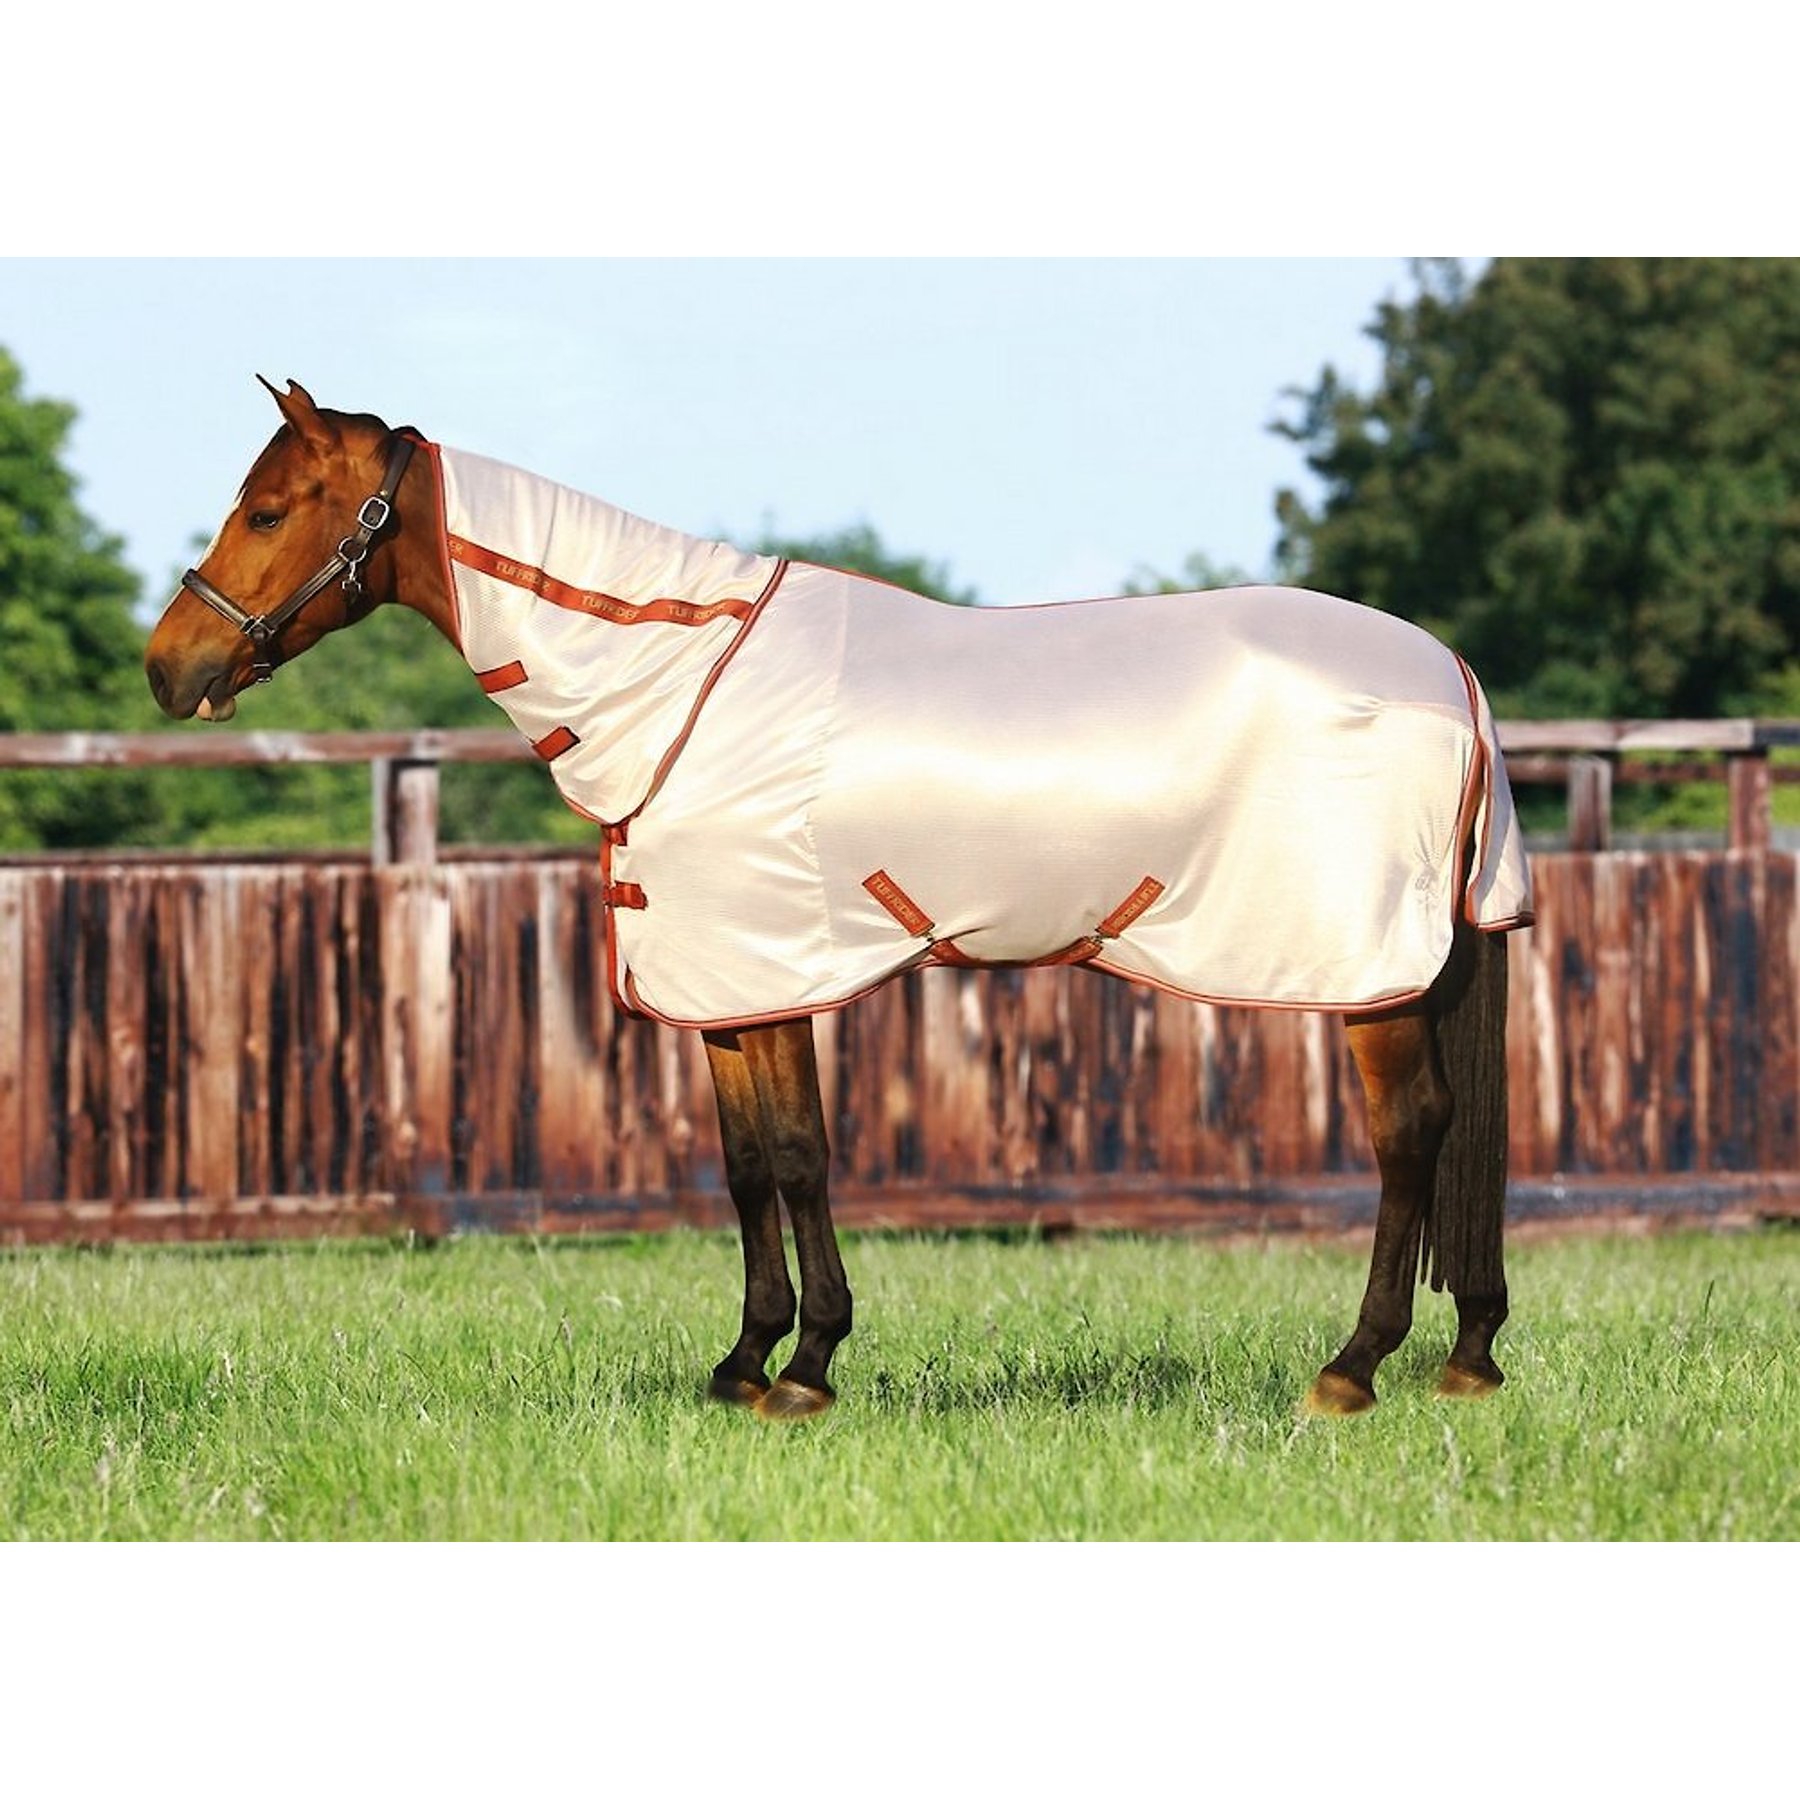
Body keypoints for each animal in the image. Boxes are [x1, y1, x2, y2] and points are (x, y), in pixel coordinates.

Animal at [145, 378, 1533, 1420]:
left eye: (267, 510)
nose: (170, 669)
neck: (680, 683)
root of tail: (1454, 676)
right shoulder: (724, 988)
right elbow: (749, 1165)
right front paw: (746, 1362)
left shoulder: (771, 966)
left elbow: (802, 1156)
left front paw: (807, 1370)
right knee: (1459, 1131)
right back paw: (1465, 1358)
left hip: (1372, 975)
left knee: (1411, 1134)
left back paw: (1352, 1369)